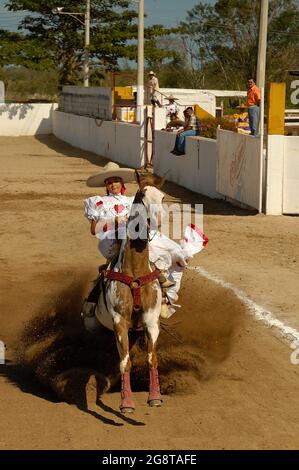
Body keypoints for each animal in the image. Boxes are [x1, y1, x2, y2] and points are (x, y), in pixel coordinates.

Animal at [94, 172, 166, 412]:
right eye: (142, 195)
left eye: (162, 196)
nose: (157, 220)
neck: (135, 272)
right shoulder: (119, 322)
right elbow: (125, 361)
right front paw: (126, 402)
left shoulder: (151, 321)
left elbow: (152, 358)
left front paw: (155, 396)